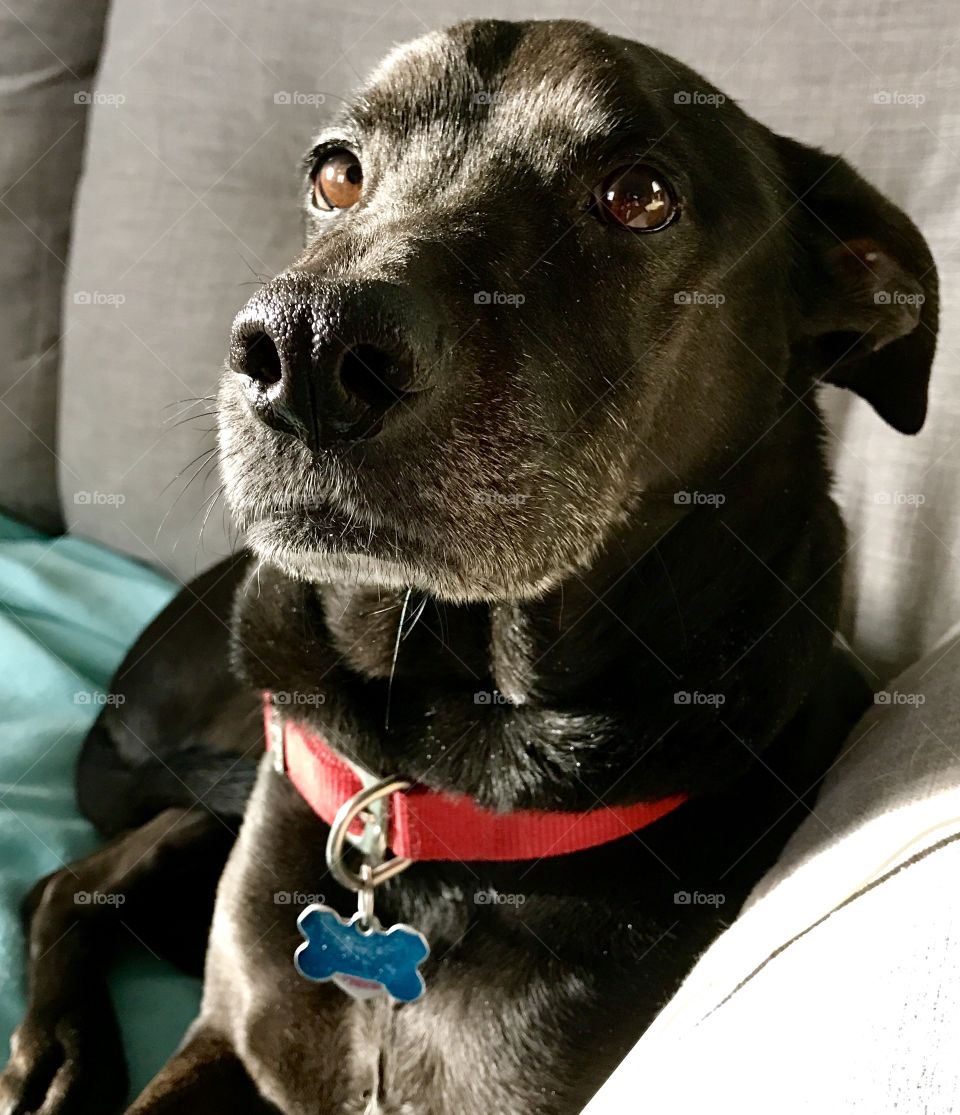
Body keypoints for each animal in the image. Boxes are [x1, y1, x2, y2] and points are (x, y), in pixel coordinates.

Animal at [0, 19, 932, 1115]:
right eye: (336, 173)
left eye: (641, 196)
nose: (304, 349)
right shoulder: (228, 1031)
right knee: (75, 874)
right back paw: (58, 1049)